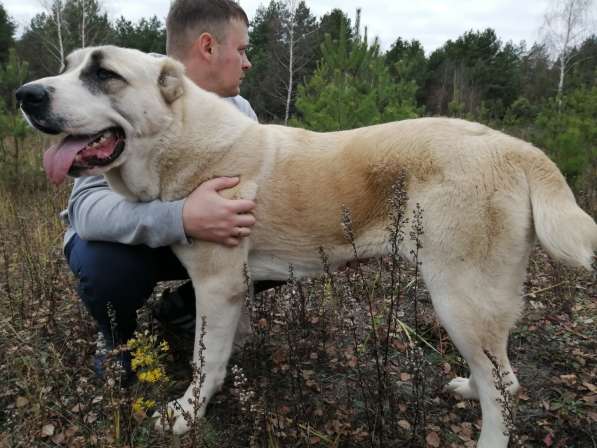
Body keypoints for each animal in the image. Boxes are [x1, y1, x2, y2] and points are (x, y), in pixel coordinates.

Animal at [16, 47, 592, 446]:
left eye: (103, 75)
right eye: (68, 68)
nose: (25, 95)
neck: (178, 139)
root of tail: (517, 147)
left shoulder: (217, 284)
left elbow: (206, 359)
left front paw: (188, 411)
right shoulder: (233, 286)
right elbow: (222, 346)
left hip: (459, 297)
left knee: (501, 388)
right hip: (477, 303)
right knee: (503, 376)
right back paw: (468, 386)